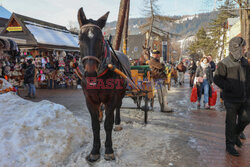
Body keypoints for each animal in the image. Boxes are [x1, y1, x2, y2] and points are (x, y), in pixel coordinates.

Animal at [77, 7, 129, 162]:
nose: (90, 72)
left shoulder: (111, 99)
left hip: (121, 93)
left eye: (100, 39)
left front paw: (108, 150)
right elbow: (95, 125)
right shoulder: (90, 100)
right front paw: (94, 150)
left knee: (118, 107)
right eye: (80, 38)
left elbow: (108, 124)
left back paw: (117, 123)